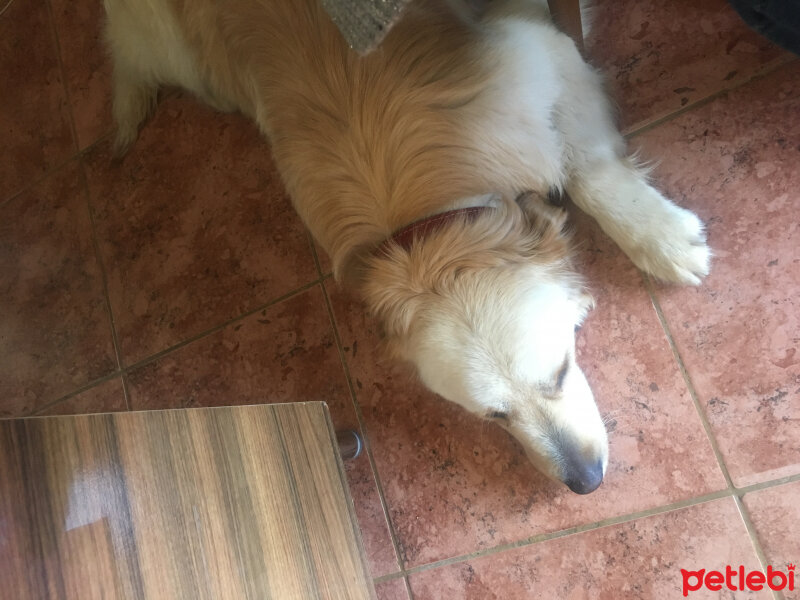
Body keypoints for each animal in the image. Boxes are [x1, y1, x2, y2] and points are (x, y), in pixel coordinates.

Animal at [103, 0, 708, 492]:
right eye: (494, 417)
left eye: (559, 374)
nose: (585, 482)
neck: (428, 237)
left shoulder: (543, 54)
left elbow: (587, 168)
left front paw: (660, 236)